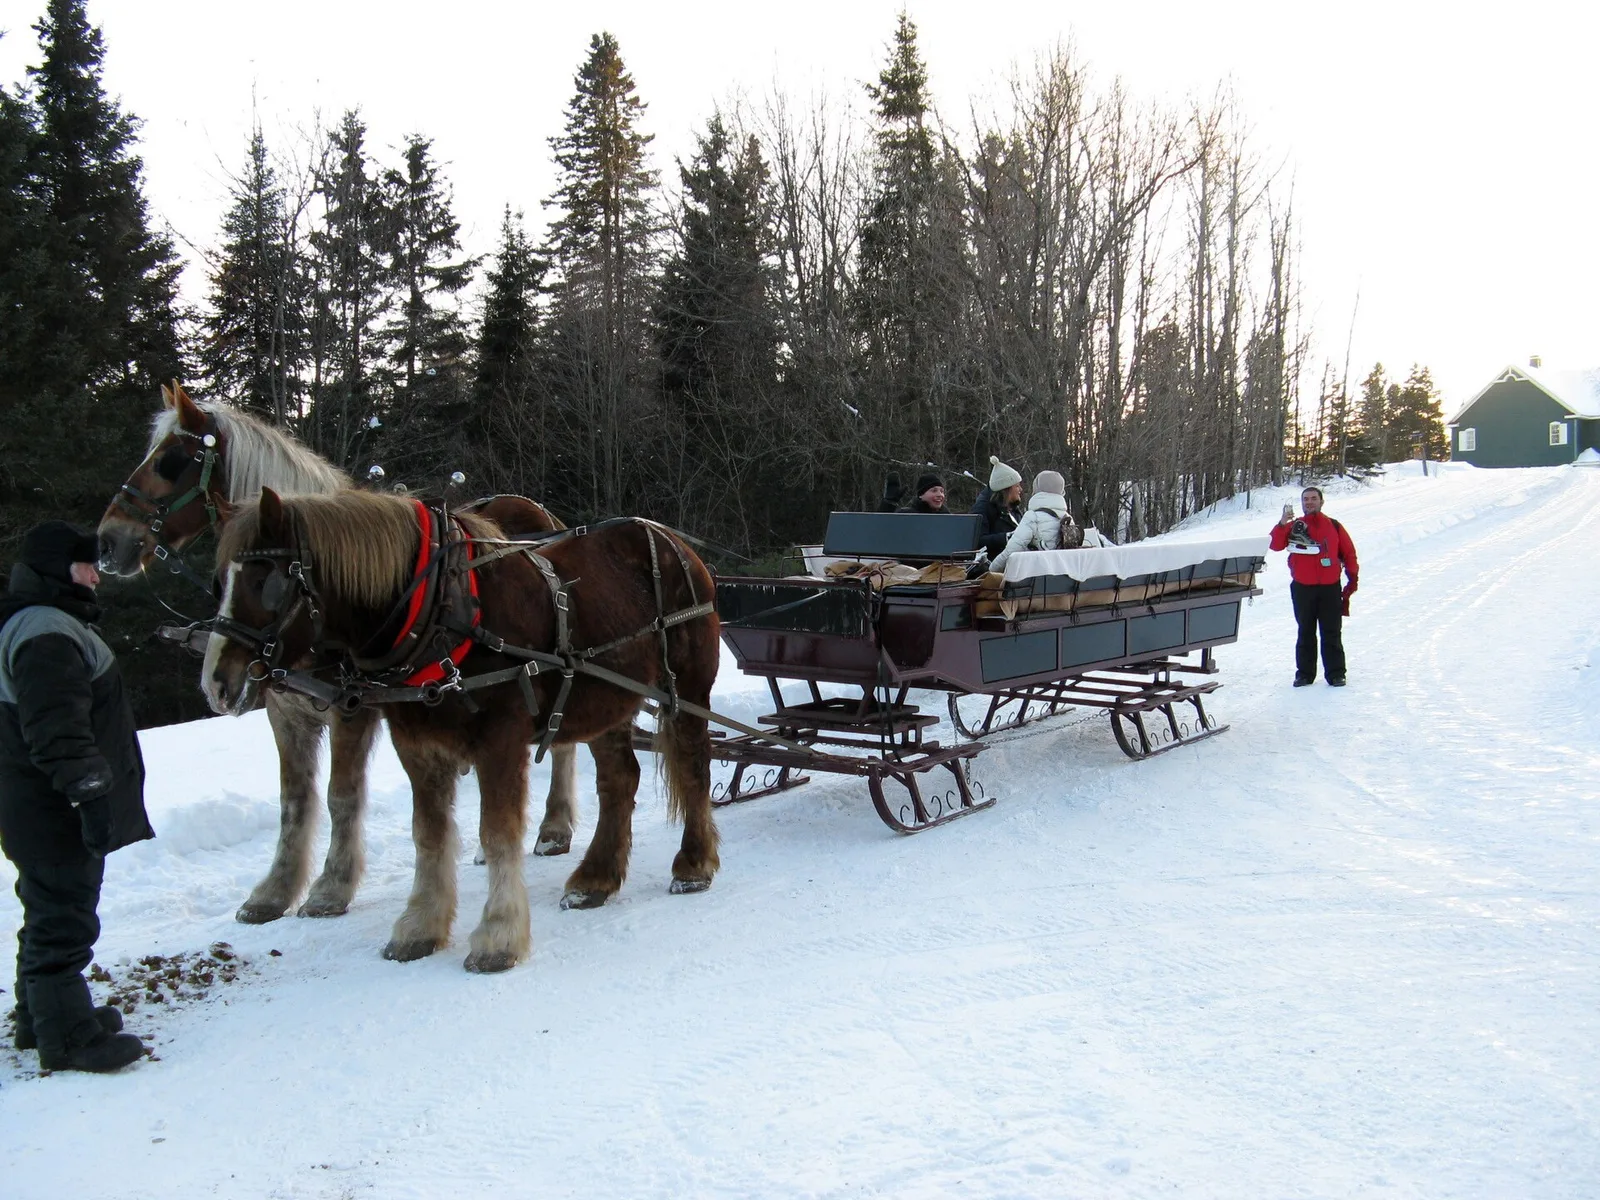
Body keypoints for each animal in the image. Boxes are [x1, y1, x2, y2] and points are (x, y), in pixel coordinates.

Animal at [96, 383, 582, 925]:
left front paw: (330, 888)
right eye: (223, 581)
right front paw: (274, 891)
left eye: (170, 461)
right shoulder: (285, 709)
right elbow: (294, 799)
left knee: (563, 739)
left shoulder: (353, 709)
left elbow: (340, 795)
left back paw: (555, 827)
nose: (108, 541)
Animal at [201, 487, 722, 972]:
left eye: (265, 579)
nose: (217, 683)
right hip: (607, 701)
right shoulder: (416, 745)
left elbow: (496, 832)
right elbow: (429, 834)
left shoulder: (500, 741)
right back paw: (595, 879)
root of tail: (672, 540)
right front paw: (420, 928)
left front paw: (499, 937)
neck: (442, 610)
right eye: (218, 581)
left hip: (689, 687)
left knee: (694, 766)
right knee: (620, 780)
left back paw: (694, 864)